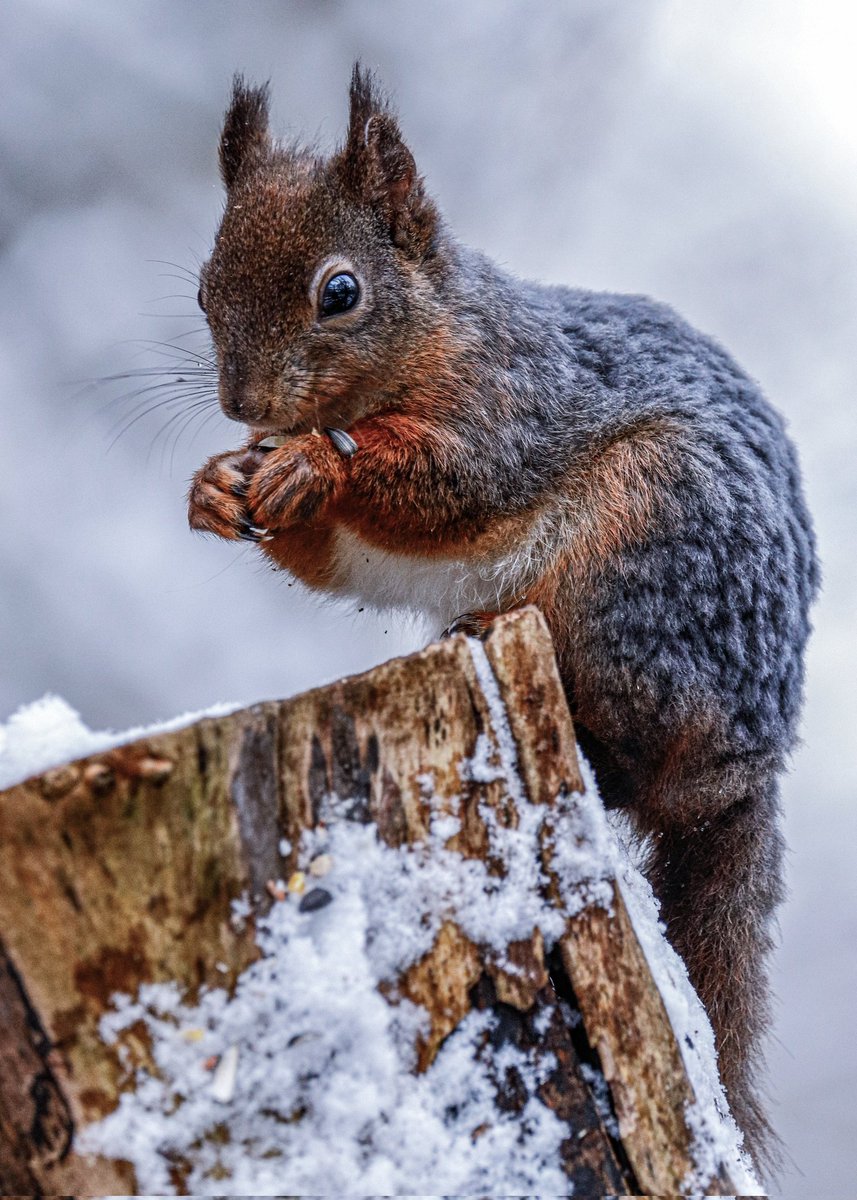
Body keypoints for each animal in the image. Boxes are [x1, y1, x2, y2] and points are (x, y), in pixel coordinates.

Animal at [187, 66, 818, 1164]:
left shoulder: (510, 409)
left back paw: (496, 643)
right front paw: (217, 489)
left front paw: (317, 461)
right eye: (202, 287)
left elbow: (444, 484)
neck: (435, 333)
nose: (244, 406)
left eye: (340, 292)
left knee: (635, 751)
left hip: (639, 564)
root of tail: (750, 758)